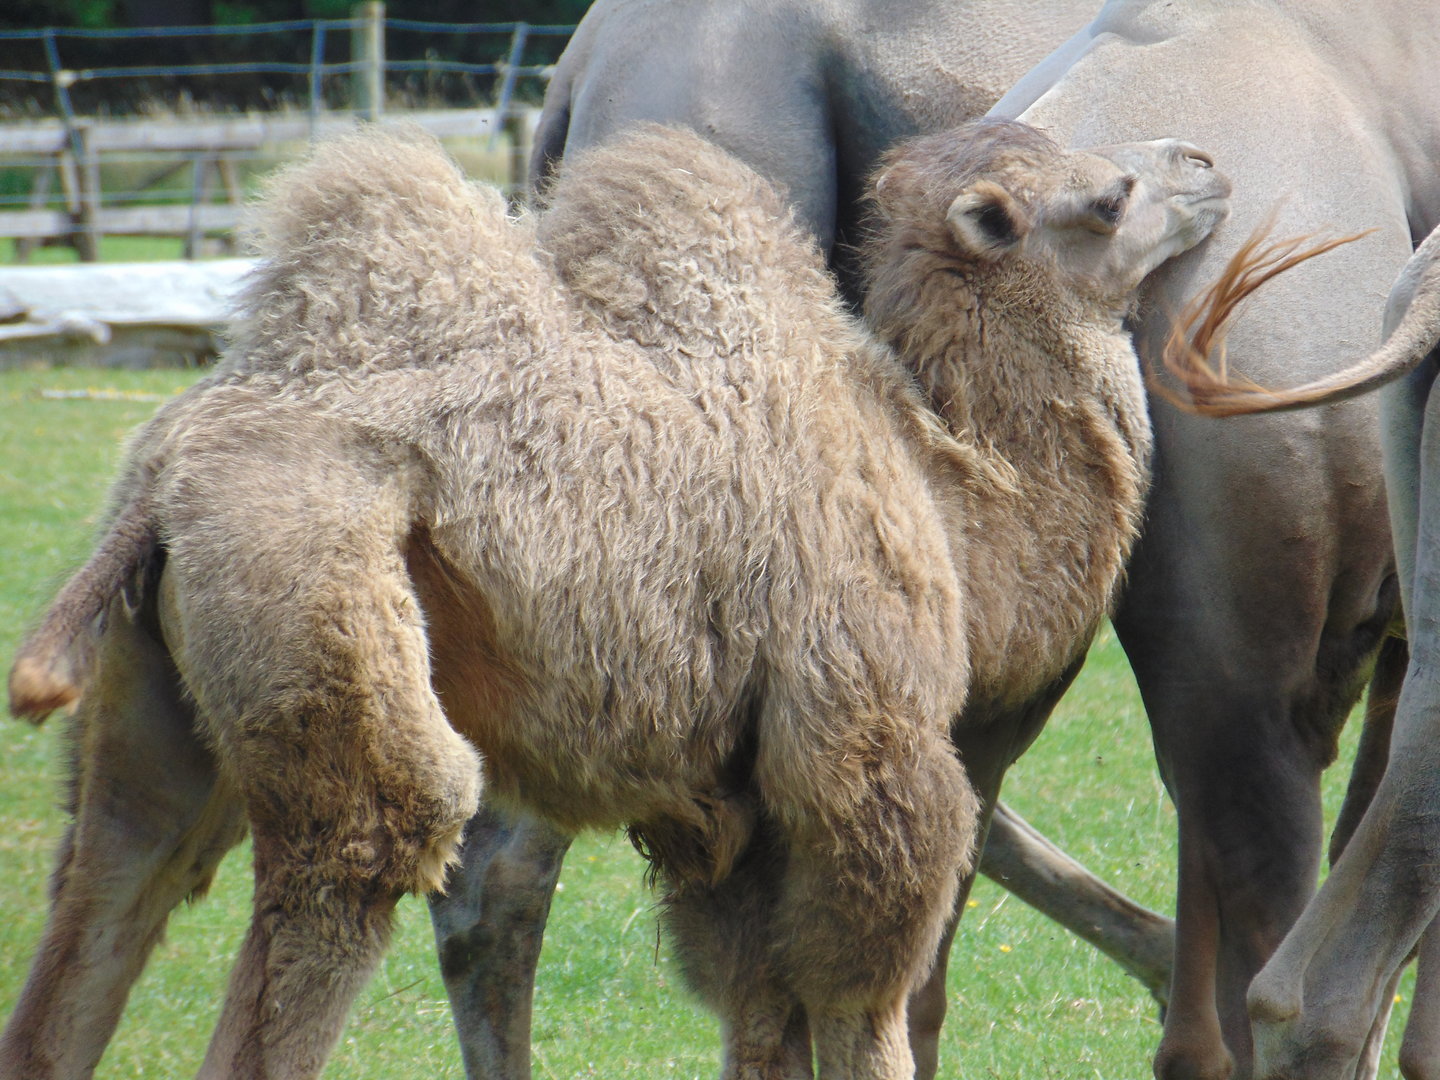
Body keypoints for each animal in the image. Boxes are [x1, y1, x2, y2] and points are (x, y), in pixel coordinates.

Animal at [2, 120, 1227, 1079]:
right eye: (1109, 196)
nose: (1208, 164)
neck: (957, 507)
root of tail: (165, 471)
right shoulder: (861, 743)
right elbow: (858, 998)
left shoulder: (737, 808)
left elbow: (759, 1010)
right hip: (313, 594)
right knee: (372, 839)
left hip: (164, 686)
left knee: (121, 871)